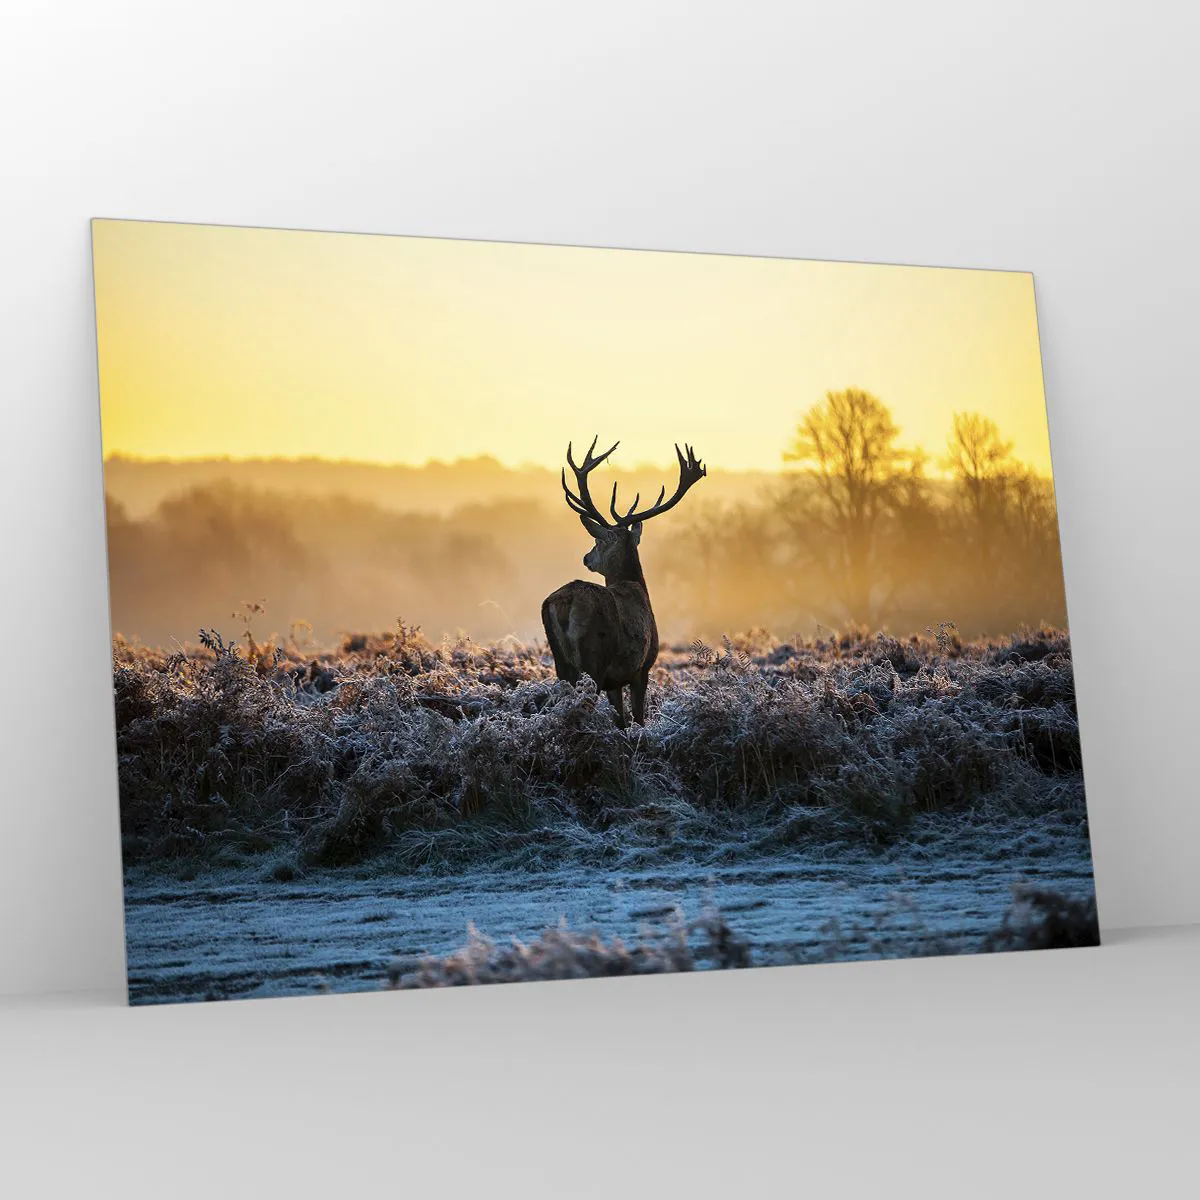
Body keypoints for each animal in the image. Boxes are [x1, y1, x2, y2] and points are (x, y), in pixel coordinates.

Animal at [541, 437, 706, 728]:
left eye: (597, 542)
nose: (586, 557)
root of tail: (563, 604)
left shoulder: (615, 681)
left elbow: (621, 718)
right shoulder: (642, 667)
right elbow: (638, 718)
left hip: (561, 661)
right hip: (594, 657)